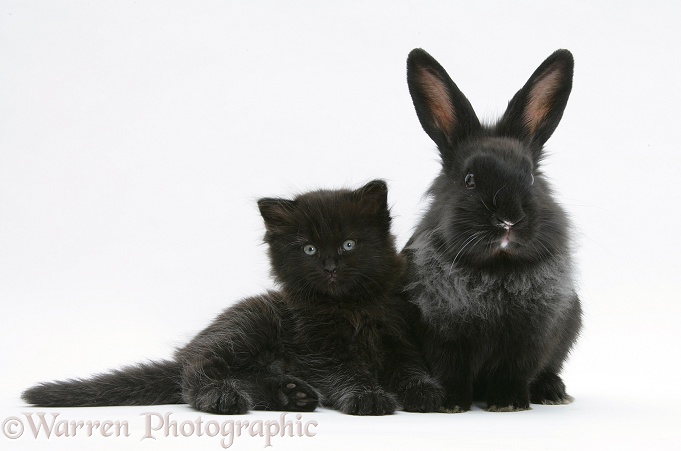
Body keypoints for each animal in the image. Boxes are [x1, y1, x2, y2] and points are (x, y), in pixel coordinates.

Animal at [22, 180, 440, 416]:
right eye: (307, 248)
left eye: (349, 244)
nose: (330, 266)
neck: (350, 307)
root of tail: (187, 349)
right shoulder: (320, 348)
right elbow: (348, 371)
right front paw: (367, 397)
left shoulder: (397, 332)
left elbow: (408, 367)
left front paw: (424, 392)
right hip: (250, 322)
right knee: (196, 372)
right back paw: (222, 397)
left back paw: (290, 394)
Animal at [402, 49, 580, 414]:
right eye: (469, 180)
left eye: (530, 177)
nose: (508, 220)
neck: (496, 268)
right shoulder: (440, 334)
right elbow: (449, 370)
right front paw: (451, 404)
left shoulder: (532, 337)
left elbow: (515, 371)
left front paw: (508, 404)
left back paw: (553, 392)